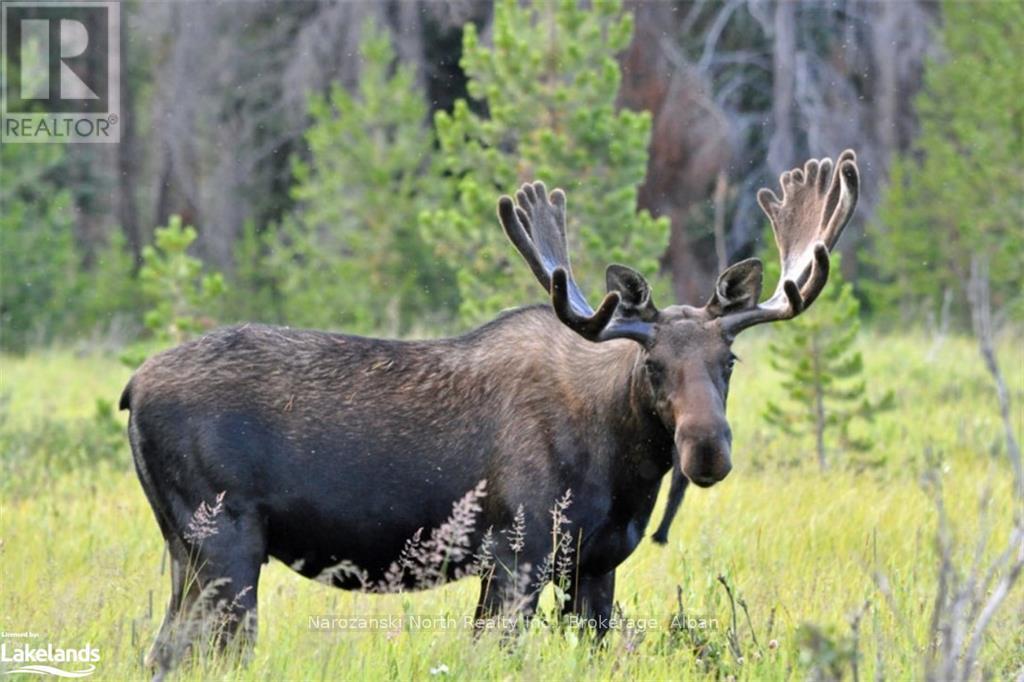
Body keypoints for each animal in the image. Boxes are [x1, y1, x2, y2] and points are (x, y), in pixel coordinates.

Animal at [121, 150, 856, 667]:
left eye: (727, 362)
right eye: (652, 366)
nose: (706, 449)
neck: (621, 470)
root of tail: (131, 389)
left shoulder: (594, 565)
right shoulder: (516, 552)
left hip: (187, 550)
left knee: (163, 652)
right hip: (224, 541)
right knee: (205, 652)